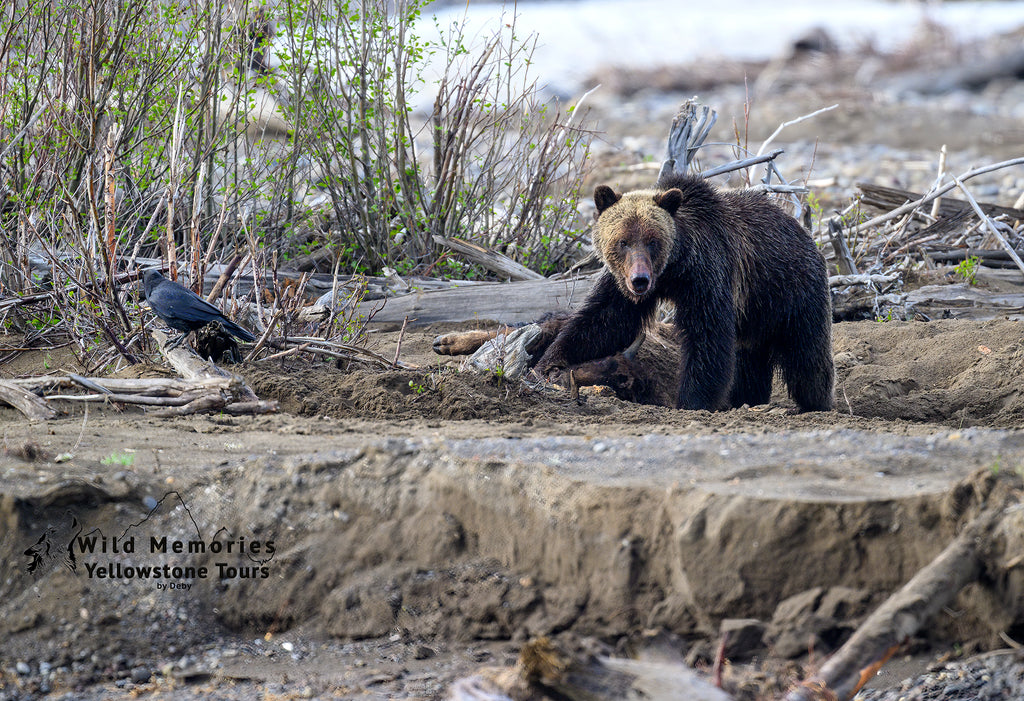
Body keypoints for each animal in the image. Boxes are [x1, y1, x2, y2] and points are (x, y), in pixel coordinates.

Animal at [536, 172, 831, 413]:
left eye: (652, 240)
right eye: (623, 241)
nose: (640, 281)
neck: (674, 269)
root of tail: (803, 230)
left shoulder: (707, 275)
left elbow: (706, 337)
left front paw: (693, 401)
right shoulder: (620, 284)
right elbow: (603, 321)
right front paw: (549, 362)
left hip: (791, 291)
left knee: (807, 355)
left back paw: (814, 403)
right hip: (754, 313)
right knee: (749, 360)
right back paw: (746, 399)